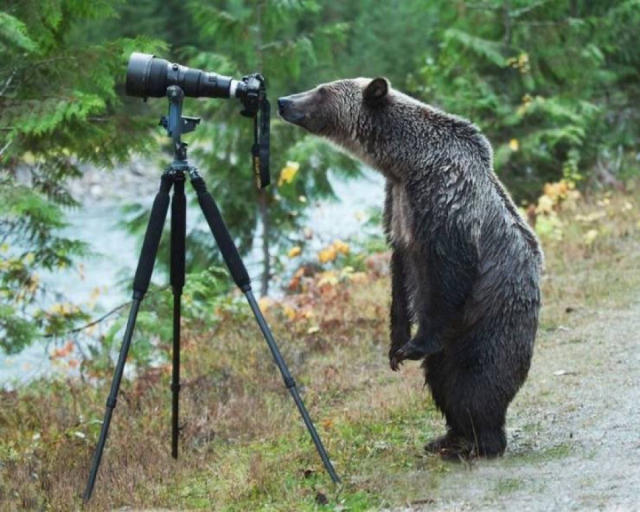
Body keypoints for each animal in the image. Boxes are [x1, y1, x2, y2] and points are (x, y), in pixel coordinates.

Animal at [278, 77, 543, 459]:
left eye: (322, 90)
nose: (283, 101)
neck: (405, 163)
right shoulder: (398, 205)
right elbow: (400, 275)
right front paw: (396, 347)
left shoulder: (444, 200)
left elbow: (448, 272)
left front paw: (413, 346)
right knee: (442, 378)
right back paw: (448, 437)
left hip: (489, 320)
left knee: (476, 380)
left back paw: (479, 441)